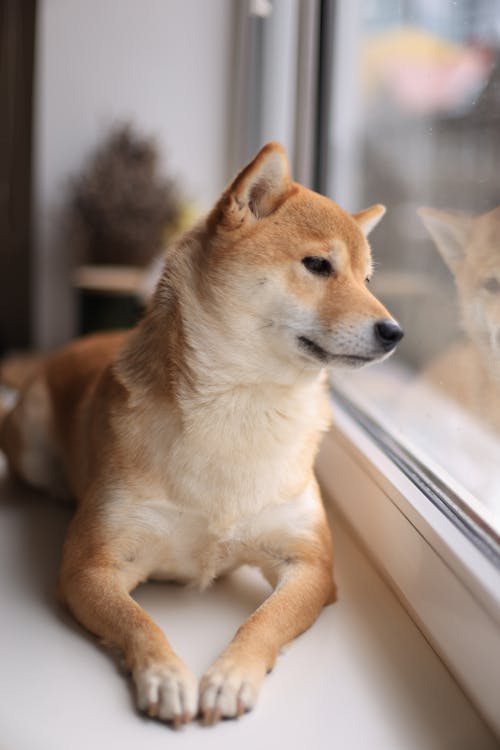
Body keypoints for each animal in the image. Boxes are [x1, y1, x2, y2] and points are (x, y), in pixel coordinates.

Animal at [0, 144, 402, 724]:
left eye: (368, 281)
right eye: (318, 265)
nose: (395, 332)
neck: (243, 407)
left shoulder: (310, 566)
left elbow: (264, 622)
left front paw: (232, 674)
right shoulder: (90, 567)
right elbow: (139, 622)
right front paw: (165, 674)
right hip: (29, 439)